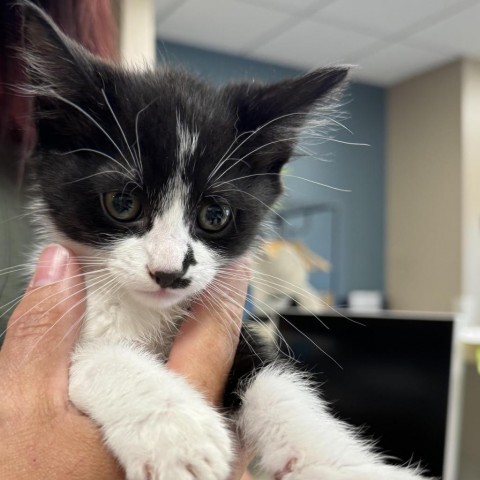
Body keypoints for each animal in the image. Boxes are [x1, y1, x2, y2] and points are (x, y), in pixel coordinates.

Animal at [20, 3, 430, 480]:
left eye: (214, 216)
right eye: (122, 203)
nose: (169, 271)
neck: (144, 313)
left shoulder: (245, 340)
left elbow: (274, 379)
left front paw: (342, 462)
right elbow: (93, 355)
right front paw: (174, 429)